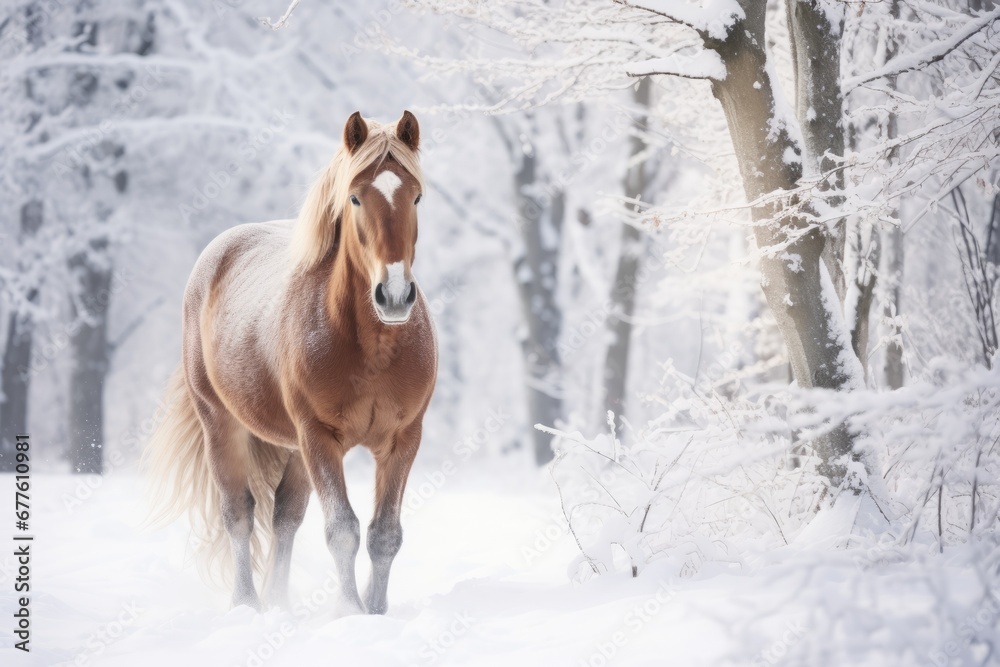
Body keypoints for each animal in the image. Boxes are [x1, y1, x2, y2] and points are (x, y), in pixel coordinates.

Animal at [144, 111, 437, 615]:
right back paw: (247, 604)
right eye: (354, 197)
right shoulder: (319, 436)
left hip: (296, 449)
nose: (395, 296)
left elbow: (384, 535)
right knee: (239, 513)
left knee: (285, 515)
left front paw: (376, 611)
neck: (372, 347)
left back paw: (278, 601)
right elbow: (342, 530)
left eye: (416, 196)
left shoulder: (402, 439)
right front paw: (350, 612)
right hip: (222, 423)